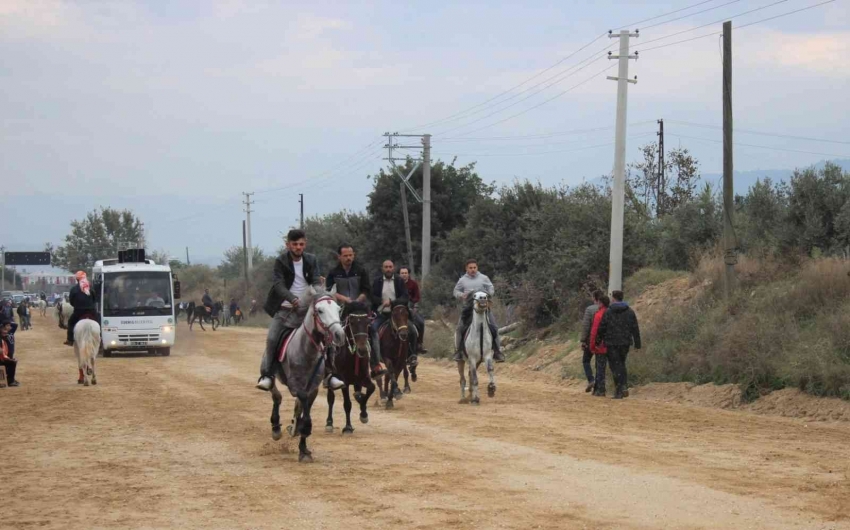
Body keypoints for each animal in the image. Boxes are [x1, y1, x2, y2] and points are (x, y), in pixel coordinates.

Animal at [266, 286, 342, 460]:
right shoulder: (296, 386)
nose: (339, 334)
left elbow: (304, 412)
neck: (306, 351)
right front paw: (302, 436)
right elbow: (305, 417)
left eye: (338, 309)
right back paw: (276, 428)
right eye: (320, 311)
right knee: (276, 395)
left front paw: (303, 448)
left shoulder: (312, 388)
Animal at [324, 302, 374, 434]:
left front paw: (363, 414)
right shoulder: (344, 380)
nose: (362, 350)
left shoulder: (363, 377)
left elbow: (371, 389)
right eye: (352, 322)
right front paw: (348, 427)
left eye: (367, 322)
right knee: (330, 398)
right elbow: (347, 404)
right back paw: (329, 423)